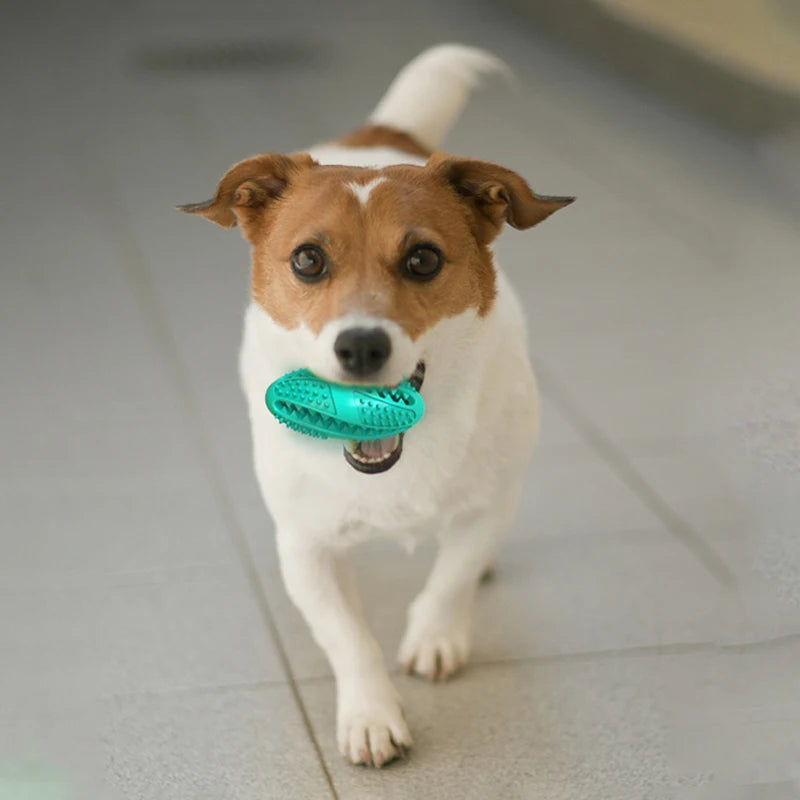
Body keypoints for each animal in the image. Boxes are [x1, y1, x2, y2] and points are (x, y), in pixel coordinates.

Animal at [178, 45, 572, 768]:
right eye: (308, 259)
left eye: (422, 259)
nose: (361, 346)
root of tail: (376, 137)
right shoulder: (308, 547)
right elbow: (347, 636)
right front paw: (370, 713)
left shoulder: (486, 504)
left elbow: (450, 577)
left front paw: (436, 635)